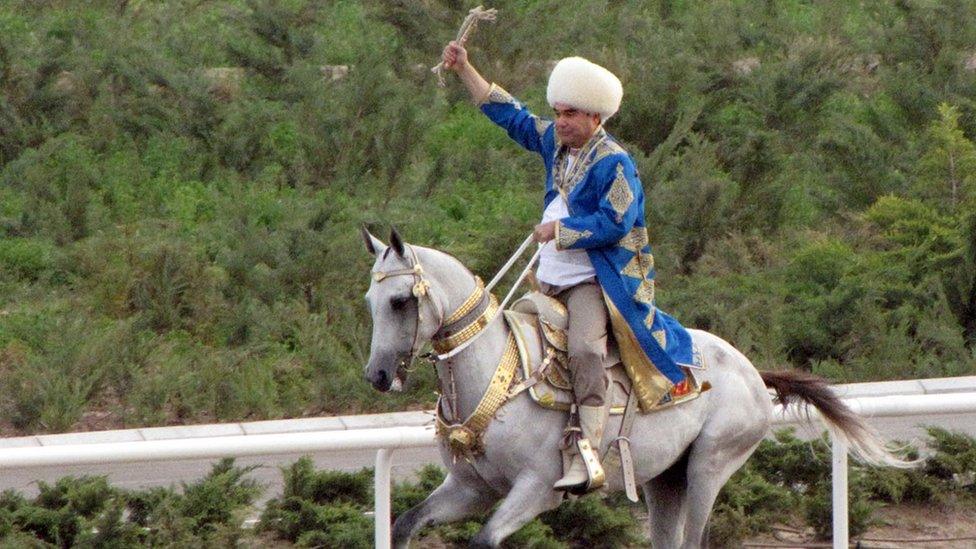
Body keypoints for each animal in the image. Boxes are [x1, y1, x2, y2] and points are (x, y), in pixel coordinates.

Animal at [364, 228, 908, 548]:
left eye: (399, 301)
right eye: (370, 299)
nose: (378, 376)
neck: (499, 374)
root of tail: (753, 373)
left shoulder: (536, 489)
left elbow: (482, 540)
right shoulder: (470, 489)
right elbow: (405, 522)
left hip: (710, 468)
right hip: (664, 481)